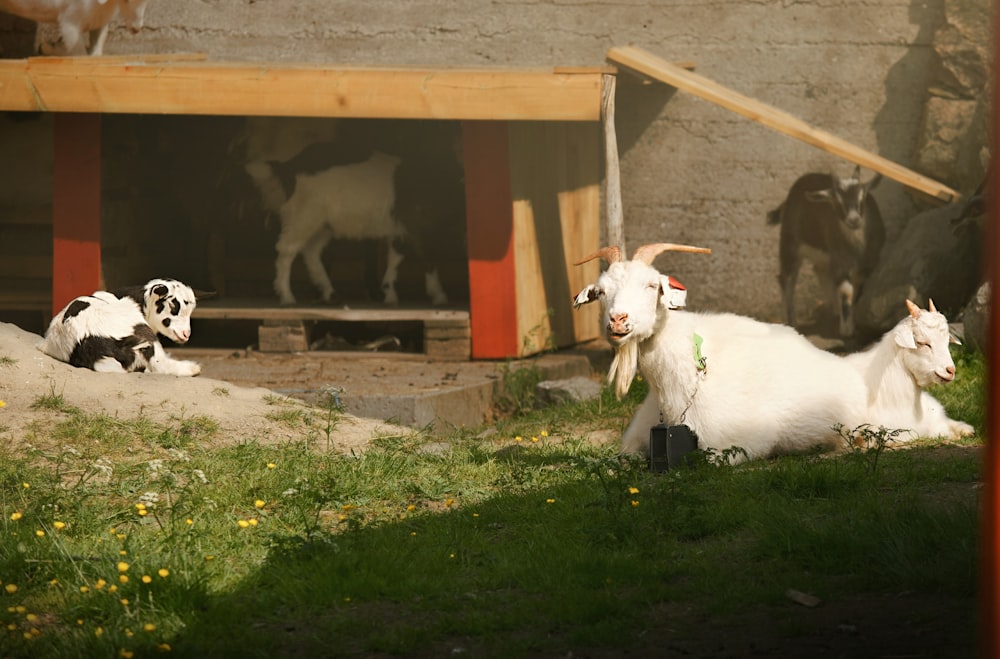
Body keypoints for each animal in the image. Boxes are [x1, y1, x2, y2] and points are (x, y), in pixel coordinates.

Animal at [0, 0, 152, 56]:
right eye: (126, 0)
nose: (136, 29)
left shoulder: (100, 18)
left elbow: (97, 47)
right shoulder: (69, 21)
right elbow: (78, 50)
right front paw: (47, 47)